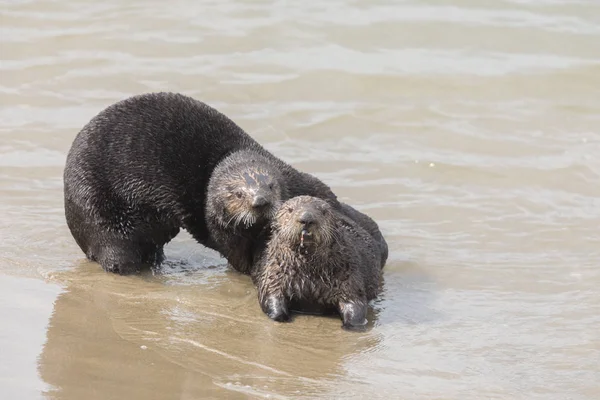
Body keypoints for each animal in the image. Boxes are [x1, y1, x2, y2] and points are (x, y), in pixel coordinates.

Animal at [252, 195, 384, 330]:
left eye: (323, 212)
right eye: (290, 210)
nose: (306, 219)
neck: (308, 272)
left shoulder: (348, 277)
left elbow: (355, 303)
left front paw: (352, 325)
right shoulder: (274, 273)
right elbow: (270, 295)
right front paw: (280, 316)